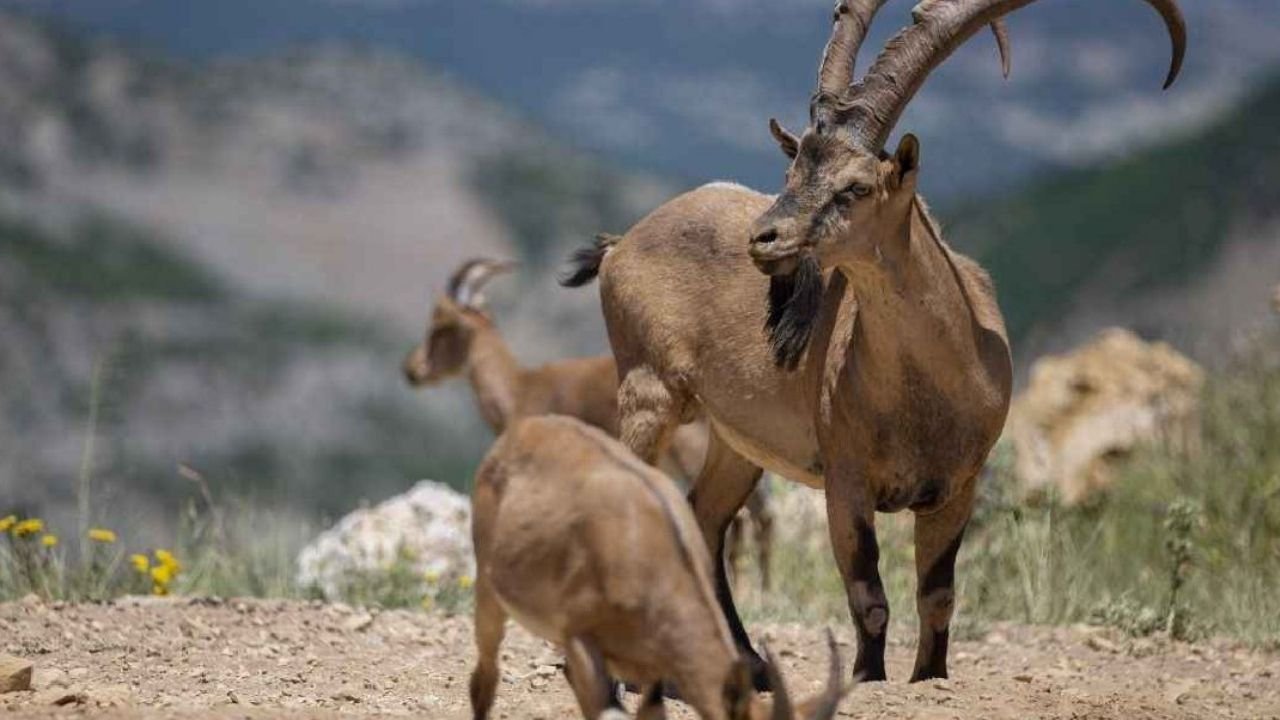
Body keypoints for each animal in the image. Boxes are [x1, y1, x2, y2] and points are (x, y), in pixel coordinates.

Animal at [565, 0, 1182, 686]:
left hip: (736, 440)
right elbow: (869, 597)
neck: (925, 391)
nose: (764, 239)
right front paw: (866, 677)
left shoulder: (956, 488)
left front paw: (929, 676)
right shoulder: (847, 484)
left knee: (704, 517)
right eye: (792, 170)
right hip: (646, 393)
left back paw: (745, 662)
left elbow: (937, 596)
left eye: (855, 187)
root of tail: (621, 244)